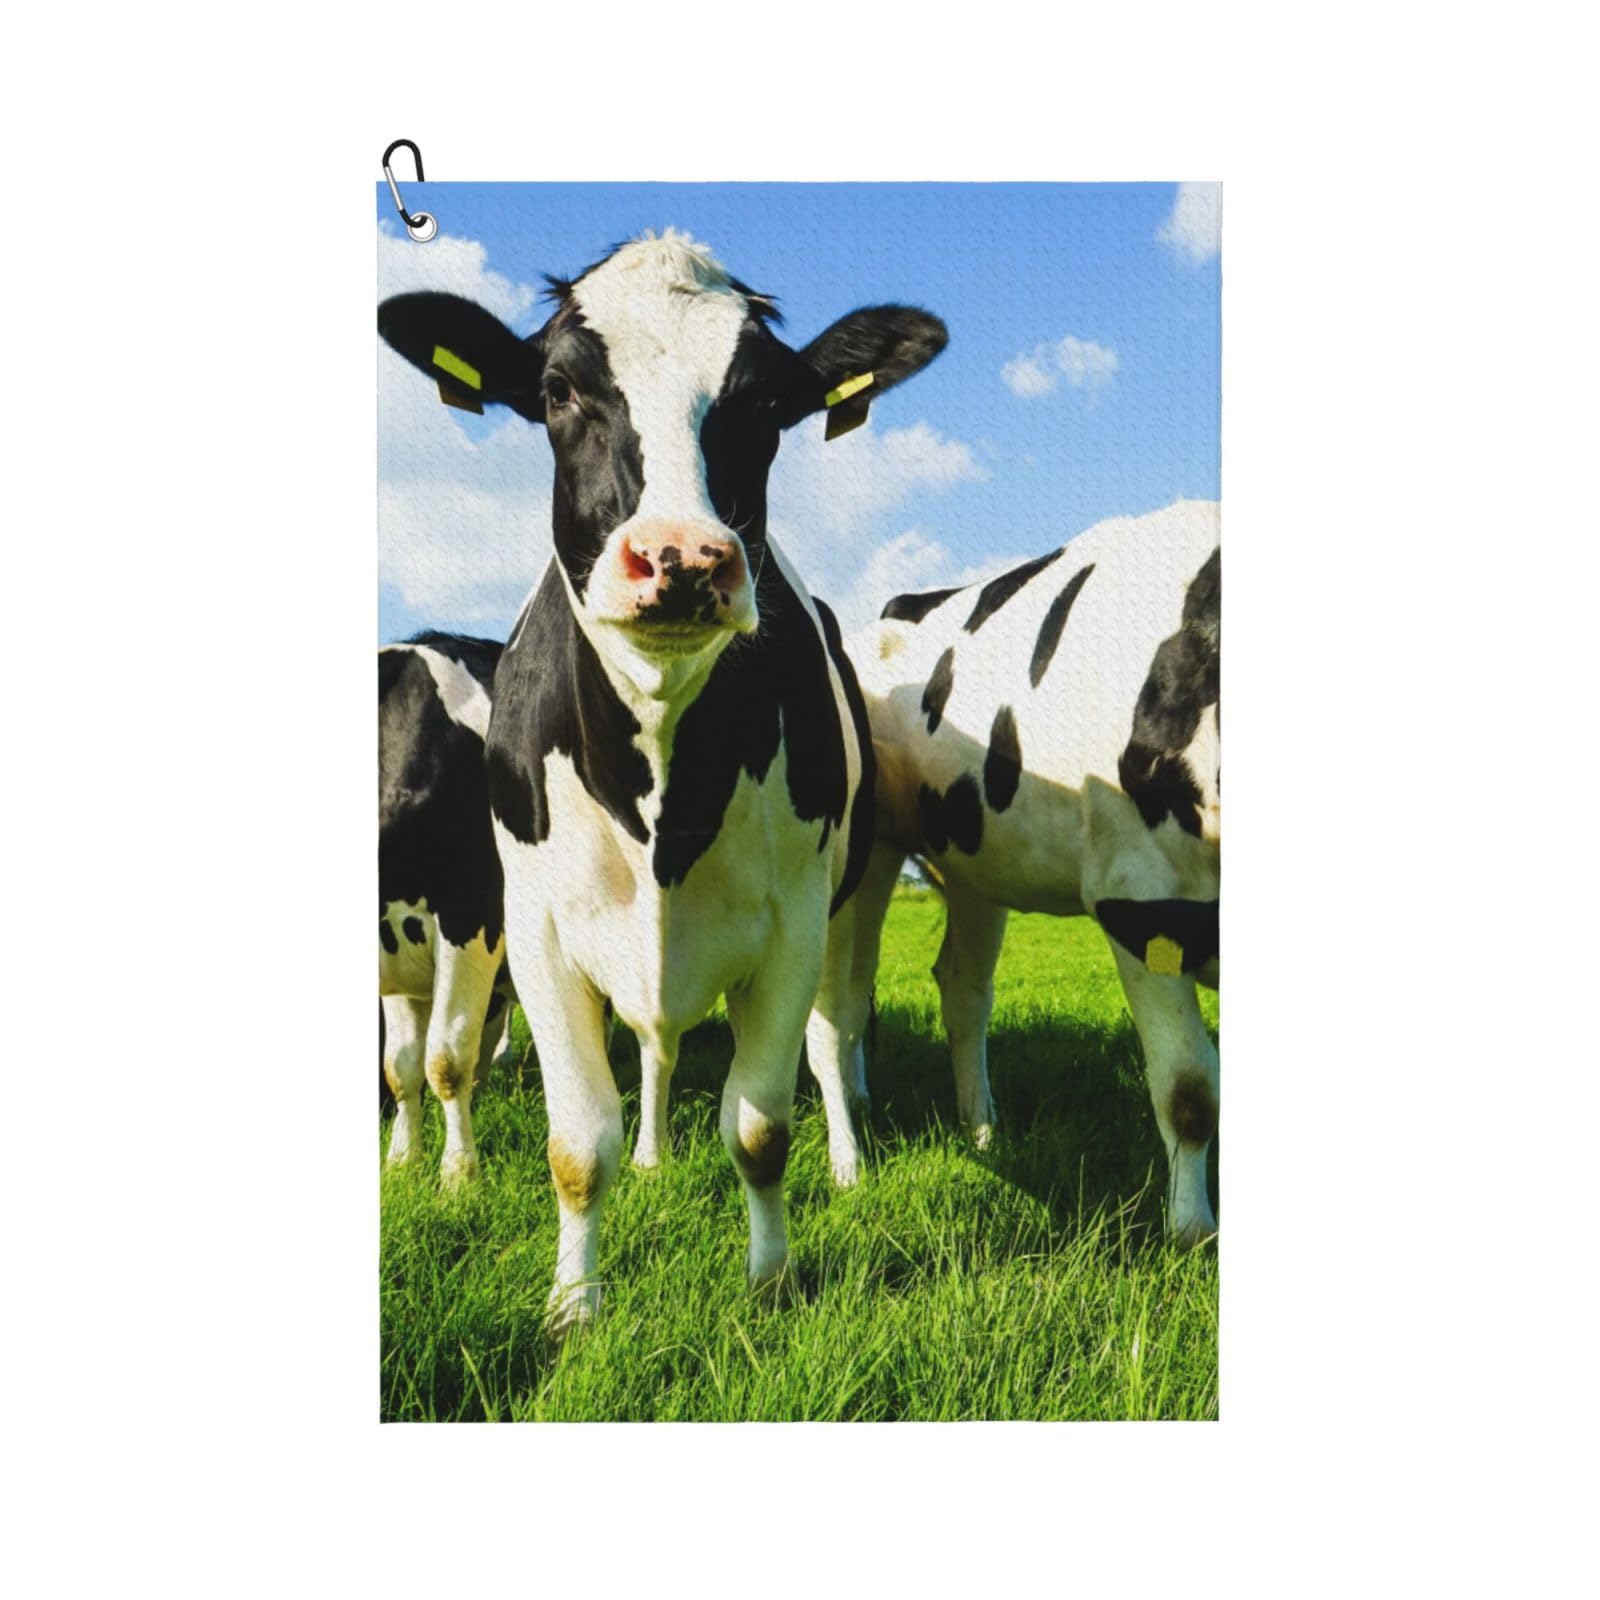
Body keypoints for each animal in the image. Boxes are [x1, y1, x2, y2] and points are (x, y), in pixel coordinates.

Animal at [378, 230, 947, 1332]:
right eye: (557, 388)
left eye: (768, 402)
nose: (681, 559)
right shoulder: (531, 924)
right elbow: (570, 1141)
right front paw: (574, 1305)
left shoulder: (792, 919)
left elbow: (760, 1127)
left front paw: (770, 1283)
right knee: (652, 1047)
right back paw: (649, 1154)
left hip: (851, 899)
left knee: (831, 1039)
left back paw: (848, 1162)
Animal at [815, 500, 1221, 1244]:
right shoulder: (1136, 897)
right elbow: (1188, 1090)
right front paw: (1191, 1233)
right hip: (851, 859)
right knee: (835, 1009)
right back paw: (848, 1159)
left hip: (972, 863)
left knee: (954, 990)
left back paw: (978, 1130)